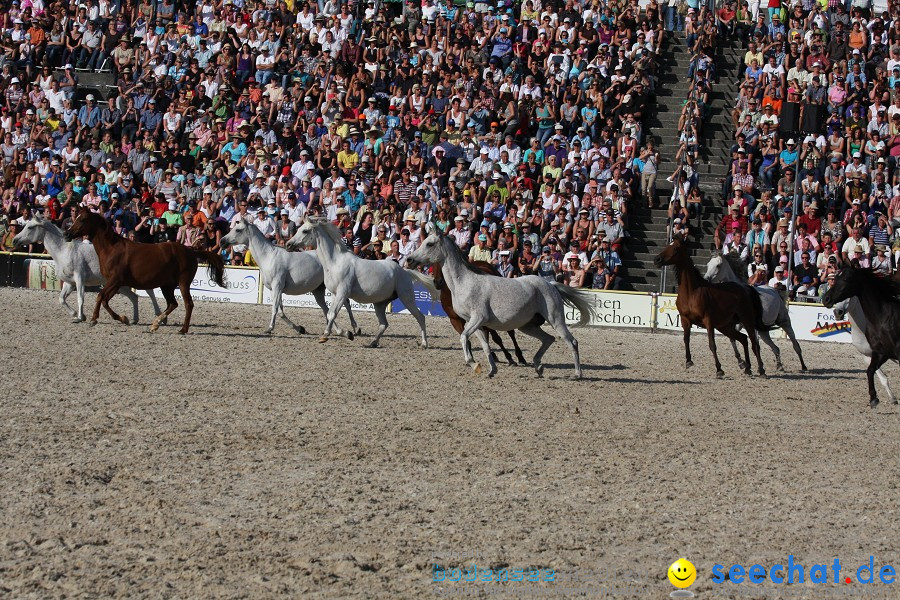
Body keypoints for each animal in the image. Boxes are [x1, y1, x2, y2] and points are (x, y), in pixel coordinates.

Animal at [65, 210, 227, 332]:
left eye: (82, 220)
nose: (67, 234)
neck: (111, 249)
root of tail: (191, 250)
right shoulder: (116, 283)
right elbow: (104, 300)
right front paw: (123, 319)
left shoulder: (114, 280)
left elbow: (100, 297)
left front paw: (93, 319)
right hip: (167, 286)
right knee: (172, 304)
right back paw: (156, 323)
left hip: (183, 283)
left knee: (188, 304)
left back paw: (183, 329)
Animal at [221, 217, 358, 338]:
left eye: (238, 230)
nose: (222, 241)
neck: (268, 257)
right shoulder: (273, 289)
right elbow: (281, 311)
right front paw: (300, 329)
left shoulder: (277, 287)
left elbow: (275, 309)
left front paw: (270, 328)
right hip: (318, 291)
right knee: (327, 309)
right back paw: (341, 331)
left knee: (345, 304)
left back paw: (355, 329)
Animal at [284, 217, 434, 346]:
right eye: (299, 228)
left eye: (305, 231)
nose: (288, 244)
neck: (335, 262)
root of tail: (404, 272)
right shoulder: (335, 293)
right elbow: (330, 312)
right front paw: (347, 333)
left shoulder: (342, 293)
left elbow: (332, 313)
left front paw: (325, 336)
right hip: (379, 304)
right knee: (383, 324)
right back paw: (373, 343)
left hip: (407, 298)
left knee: (420, 317)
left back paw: (424, 343)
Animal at [404, 227, 596, 378]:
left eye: (429, 244)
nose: (409, 260)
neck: (464, 282)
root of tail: (551, 284)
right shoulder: (476, 324)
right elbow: (485, 346)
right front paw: (491, 370)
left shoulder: (477, 319)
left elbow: (464, 337)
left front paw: (473, 363)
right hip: (527, 326)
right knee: (548, 339)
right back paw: (538, 366)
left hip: (556, 320)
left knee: (571, 341)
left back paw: (577, 374)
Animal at [652, 237, 768, 378]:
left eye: (675, 248)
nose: (657, 259)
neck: (692, 292)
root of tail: (744, 288)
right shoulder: (685, 320)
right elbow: (686, 339)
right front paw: (688, 361)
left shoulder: (708, 321)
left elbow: (712, 345)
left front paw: (719, 370)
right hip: (725, 326)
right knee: (743, 339)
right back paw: (747, 368)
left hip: (746, 320)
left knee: (754, 343)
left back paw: (761, 370)